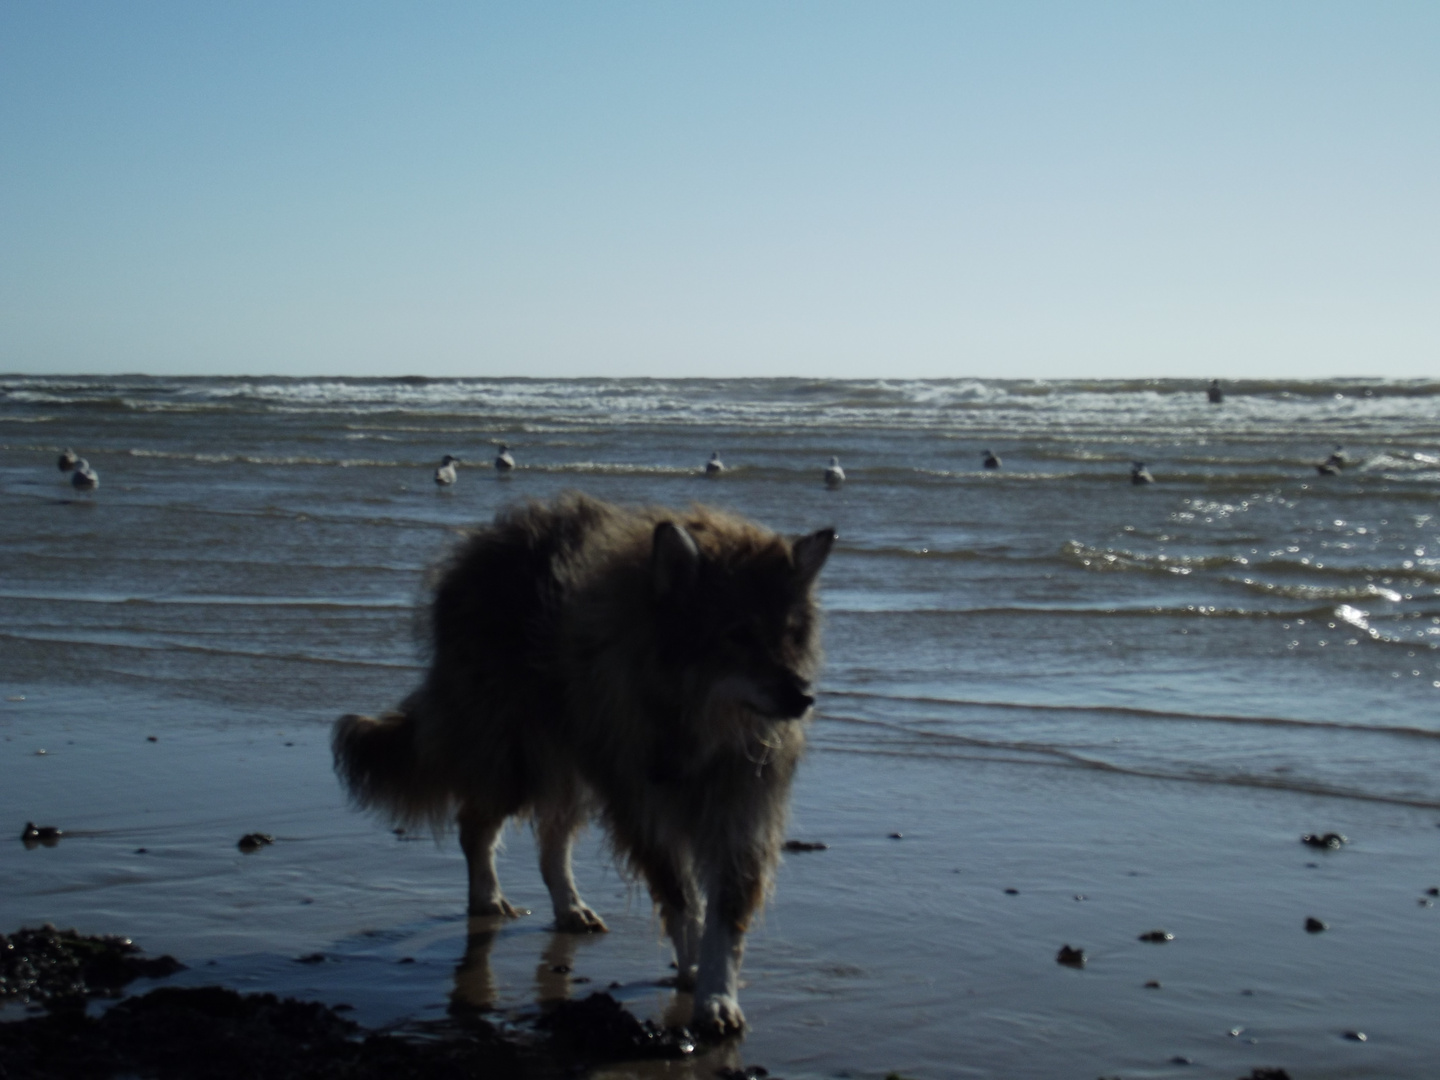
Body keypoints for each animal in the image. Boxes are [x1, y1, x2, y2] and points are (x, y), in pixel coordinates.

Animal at [332, 495, 835, 1036]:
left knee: (552, 841)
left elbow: (724, 917)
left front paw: (716, 990)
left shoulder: (741, 811)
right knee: (476, 824)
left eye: (791, 634)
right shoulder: (644, 806)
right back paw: (486, 895)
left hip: (573, 759)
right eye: (738, 634)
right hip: (516, 755)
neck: (699, 723)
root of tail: (482, 542)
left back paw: (568, 905)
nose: (803, 697)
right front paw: (694, 967)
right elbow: (682, 900)